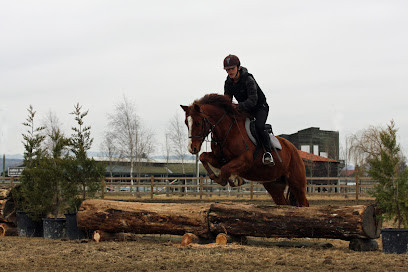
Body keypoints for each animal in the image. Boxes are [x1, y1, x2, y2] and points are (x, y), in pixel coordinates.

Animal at [182, 93, 310, 206]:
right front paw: (216, 177)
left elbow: (225, 169)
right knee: (283, 202)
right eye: (186, 123)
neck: (227, 131)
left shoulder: (245, 160)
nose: (192, 148)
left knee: (304, 202)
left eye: (198, 123)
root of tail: (294, 149)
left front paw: (233, 180)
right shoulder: (220, 159)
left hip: (297, 183)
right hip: (274, 185)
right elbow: (204, 157)